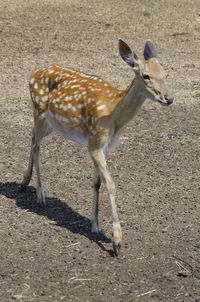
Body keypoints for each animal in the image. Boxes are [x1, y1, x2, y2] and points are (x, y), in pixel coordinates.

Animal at [22, 37, 173, 255]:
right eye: (146, 76)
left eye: (165, 73)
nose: (168, 98)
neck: (114, 115)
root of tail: (32, 74)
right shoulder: (94, 142)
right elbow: (111, 184)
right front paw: (117, 241)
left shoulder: (103, 146)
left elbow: (97, 182)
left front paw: (95, 225)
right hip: (40, 112)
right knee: (36, 146)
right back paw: (40, 196)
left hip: (50, 124)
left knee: (32, 137)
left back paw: (25, 181)